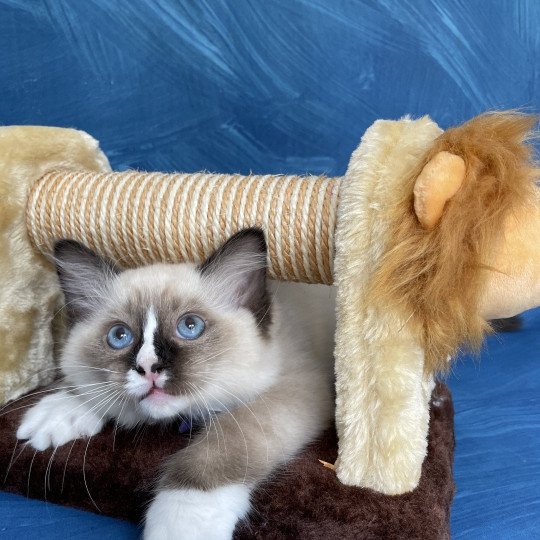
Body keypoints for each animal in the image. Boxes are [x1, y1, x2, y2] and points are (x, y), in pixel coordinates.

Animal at [16, 229, 336, 540]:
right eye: (119, 336)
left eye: (190, 327)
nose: (148, 367)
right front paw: (56, 412)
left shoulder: (299, 386)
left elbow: (220, 448)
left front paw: (182, 522)